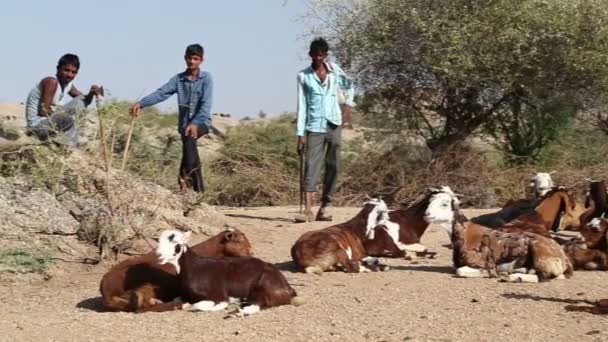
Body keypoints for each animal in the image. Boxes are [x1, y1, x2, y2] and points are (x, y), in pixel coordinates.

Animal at [156, 228, 300, 316]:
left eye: (177, 243)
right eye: (159, 241)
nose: (158, 255)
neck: (192, 267)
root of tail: (288, 287)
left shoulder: (218, 295)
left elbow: (199, 305)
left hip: (263, 286)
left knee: (261, 304)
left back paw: (238, 312)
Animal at [426, 188, 572, 282]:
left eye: (444, 204)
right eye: (430, 203)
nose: (427, 214)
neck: (464, 233)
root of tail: (564, 257)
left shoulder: (482, 263)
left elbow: (460, 271)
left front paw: (488, 273)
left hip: (540, 255)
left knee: (544, 277)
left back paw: (514, 277)